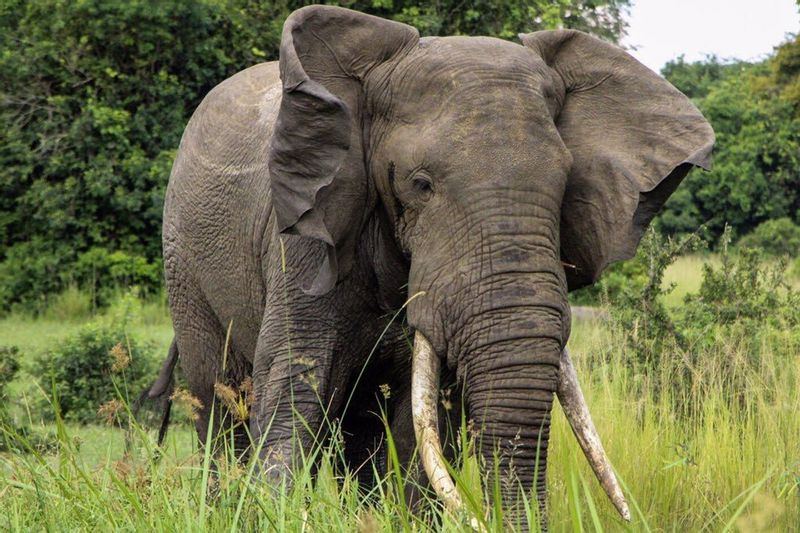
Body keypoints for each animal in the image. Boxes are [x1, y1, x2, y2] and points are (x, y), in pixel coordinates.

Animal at [150, 4, 712, 528]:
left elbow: (420, 427)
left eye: (566, 184)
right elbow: (294, 386)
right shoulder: (306, 238)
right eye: (419, 184)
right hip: (183, 261)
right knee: (220, 405)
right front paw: (276, 513)